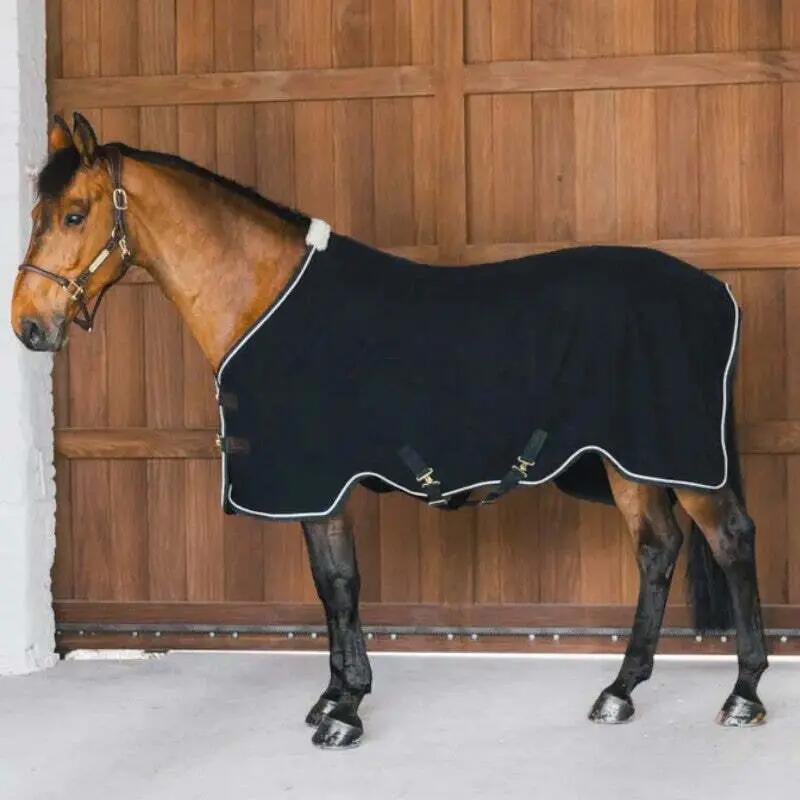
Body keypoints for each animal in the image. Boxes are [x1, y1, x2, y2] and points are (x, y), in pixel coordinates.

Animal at [11, 113, 768, 749]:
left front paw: (345, 711)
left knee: (730, 540)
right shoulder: (313, 491)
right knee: (658, 550)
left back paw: (743, 694)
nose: (28, 325)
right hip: (628, 463)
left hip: (680, 463)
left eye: (73, 214)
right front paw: (332, 696)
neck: (265, 297)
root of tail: (716, 291)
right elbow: (328, 586)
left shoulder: (320, 482)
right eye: (38, 214)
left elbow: (342, 584)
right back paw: (619, 691)